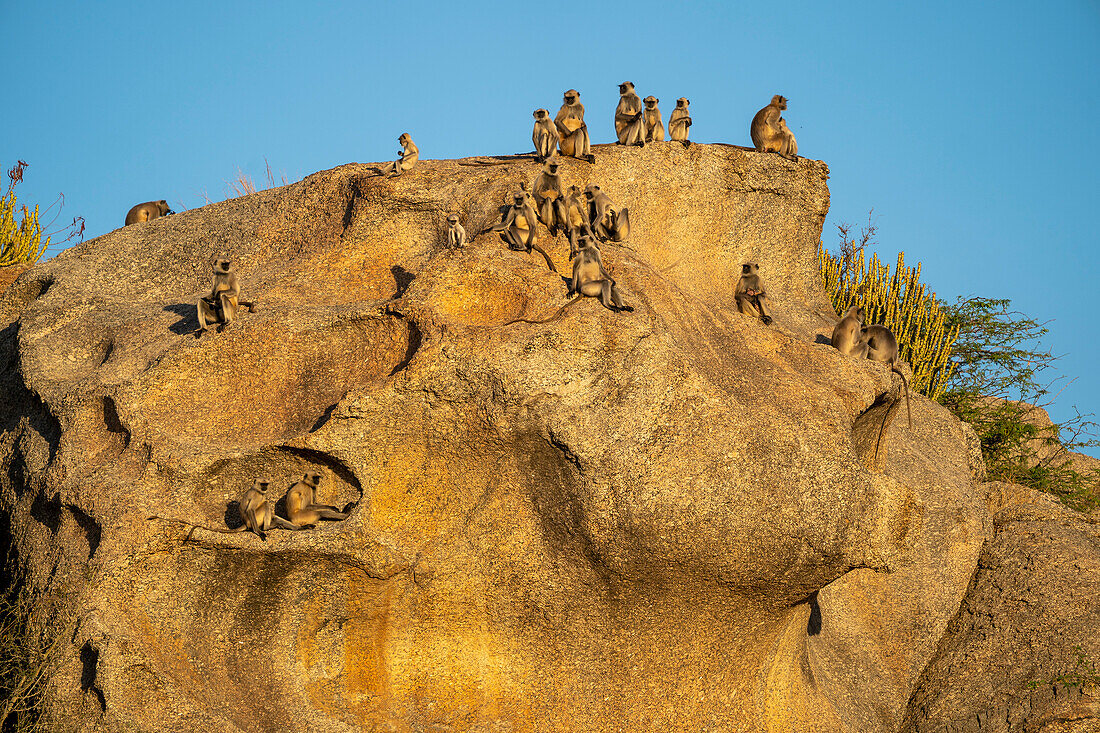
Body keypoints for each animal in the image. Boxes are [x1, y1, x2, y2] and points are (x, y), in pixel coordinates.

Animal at [148, 477, 301, 539]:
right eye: (262, 484)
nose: (265, 488)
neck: (258, 490)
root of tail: (245, 524)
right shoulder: (256, 496)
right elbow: (251, 509)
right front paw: (258, 532)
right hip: (254, 520)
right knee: (266, 504)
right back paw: (266, 528)